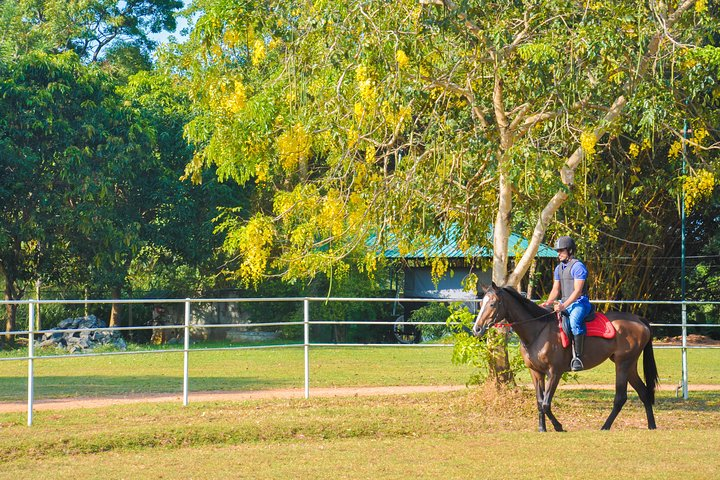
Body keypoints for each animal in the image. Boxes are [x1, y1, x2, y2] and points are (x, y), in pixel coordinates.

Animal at [472, 284, 660, 434]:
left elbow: (546, 403)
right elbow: (539, 402)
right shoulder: (536, 372)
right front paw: (542, 428)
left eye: (492, 303)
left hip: (623, 364)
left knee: (620, 397)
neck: (538, 331)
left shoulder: (554, 372)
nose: (477, 329)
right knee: (643, 392)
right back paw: (651, 425)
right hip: (629, 365)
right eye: (481, 303)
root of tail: (639, 320)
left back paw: (605, 426)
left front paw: (558, 426)